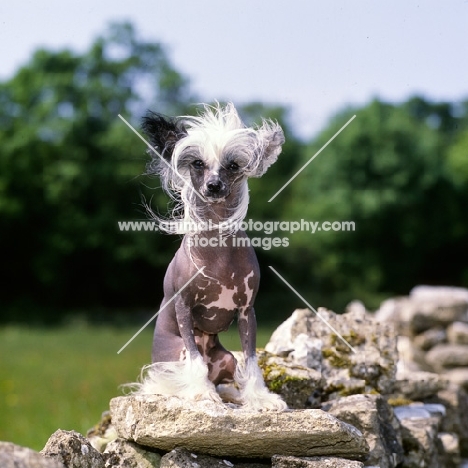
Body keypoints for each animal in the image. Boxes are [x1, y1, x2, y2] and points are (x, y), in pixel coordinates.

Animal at [133, 101, 288, 410]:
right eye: (197, 164)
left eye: (233, 165)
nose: (214, 186)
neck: (217, 250)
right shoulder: (183, 307)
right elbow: (195, 361)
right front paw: (201, 393)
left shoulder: (247, 311)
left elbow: (251, 359)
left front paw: (260, 398)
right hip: (175, 357)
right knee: (186, 373)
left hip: (225, 357)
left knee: (225, 378)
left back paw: (233, 395)